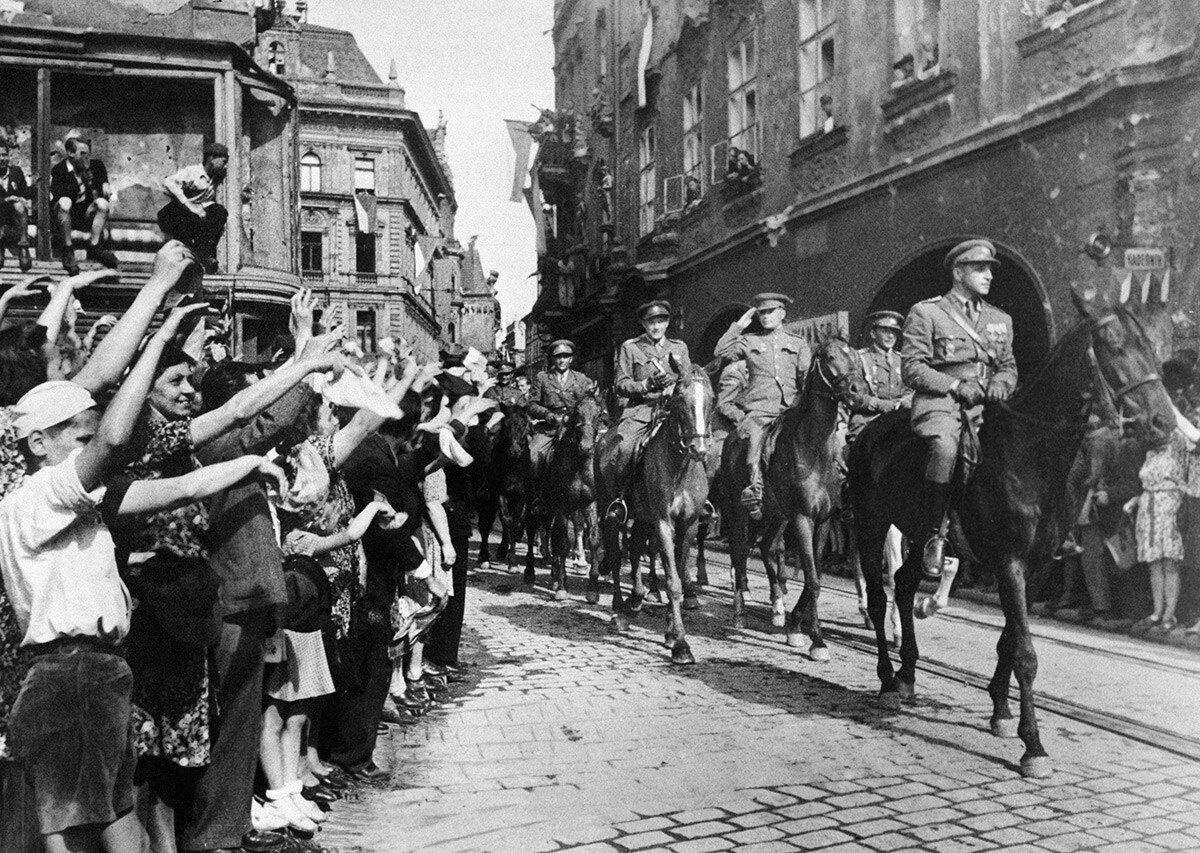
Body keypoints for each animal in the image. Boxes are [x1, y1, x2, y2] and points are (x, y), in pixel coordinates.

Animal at [549, 393, 609, 599]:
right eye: (576, 414)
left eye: (599, 415)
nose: (585, 447)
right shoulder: (560, 506)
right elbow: (562, 543)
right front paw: (561, 586)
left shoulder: (591, 503)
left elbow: (595, 540)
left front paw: (592, 587)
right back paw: (555, 577)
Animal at [592, 357, 710, 662]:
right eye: (680, 399)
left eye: (711, 399)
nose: (699, 449)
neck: (680, 467)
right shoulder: (663, 522)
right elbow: (673, 582)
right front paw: (681, 643)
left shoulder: (688, 524)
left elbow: (678, 573)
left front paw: (670, 632)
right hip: (611, 512)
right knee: (615, 551)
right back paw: (619, 609)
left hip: (643, 517)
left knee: (634, 548)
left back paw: (635, 598)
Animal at [715, 335, 868, 657]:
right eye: (830, 356)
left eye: (856, 358)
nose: (858, 392)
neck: (813, 450)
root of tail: (731, 439)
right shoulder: (802, 518)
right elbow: (812, 579)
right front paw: (817, 640)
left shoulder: (823, 521)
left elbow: (815, 577)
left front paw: (796, 626)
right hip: (738, 512)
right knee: (740, 553)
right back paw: (739, 613)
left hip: (775, 517)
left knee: (766, 547)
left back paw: (777, 608)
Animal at [849, 289, 1176, 782]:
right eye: (1114, 345)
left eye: (1152, 347)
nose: (1164, 424)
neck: (1032, 453)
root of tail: (870, 431)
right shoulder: (1009, 563)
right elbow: (1025, 651)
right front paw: (1033, 745)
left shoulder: (1035, 568)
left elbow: (1009, 639)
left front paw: (1001, 711)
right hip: (871, 526)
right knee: (878, 597)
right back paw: (888, 681)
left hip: (919, 535)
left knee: (905, 585)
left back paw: (907, 675)